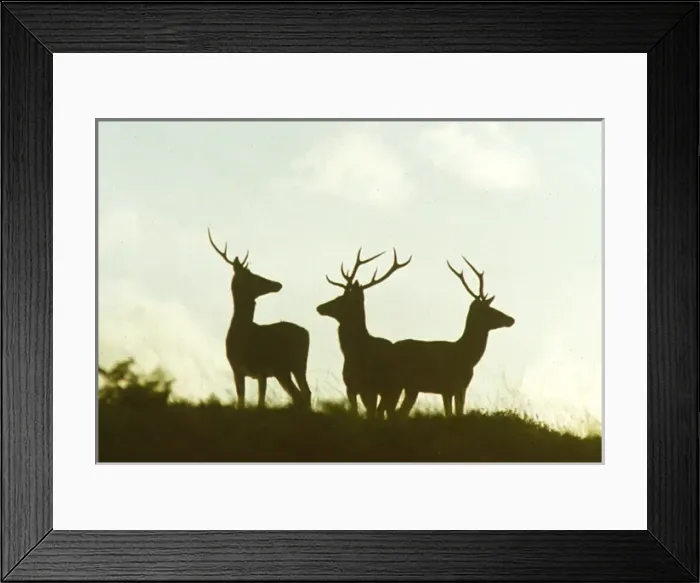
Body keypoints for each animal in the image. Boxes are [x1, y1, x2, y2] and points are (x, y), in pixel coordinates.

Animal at [207, 228, 312, 410]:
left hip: (288, 366)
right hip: (292, 367)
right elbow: (241, 401)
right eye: (254, 276)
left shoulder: (262, 369)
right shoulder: (237, 370)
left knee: (301, 395)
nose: (278, 284)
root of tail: (306, 333)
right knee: (303, 394)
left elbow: (260, 403)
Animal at [316, 248, 411, 419]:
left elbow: (371, 414)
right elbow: (357, 412)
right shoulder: (351, 387)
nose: (320, 307)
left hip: (394, 387)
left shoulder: (370, 388)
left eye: (342, 298)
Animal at [389, 256, 514, 417]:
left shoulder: (454, 388)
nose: (511, 319)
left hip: (410, 388)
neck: (467, 356)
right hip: (397, 382)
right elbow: (454, 414)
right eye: (489, 310)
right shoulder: (451, 386)